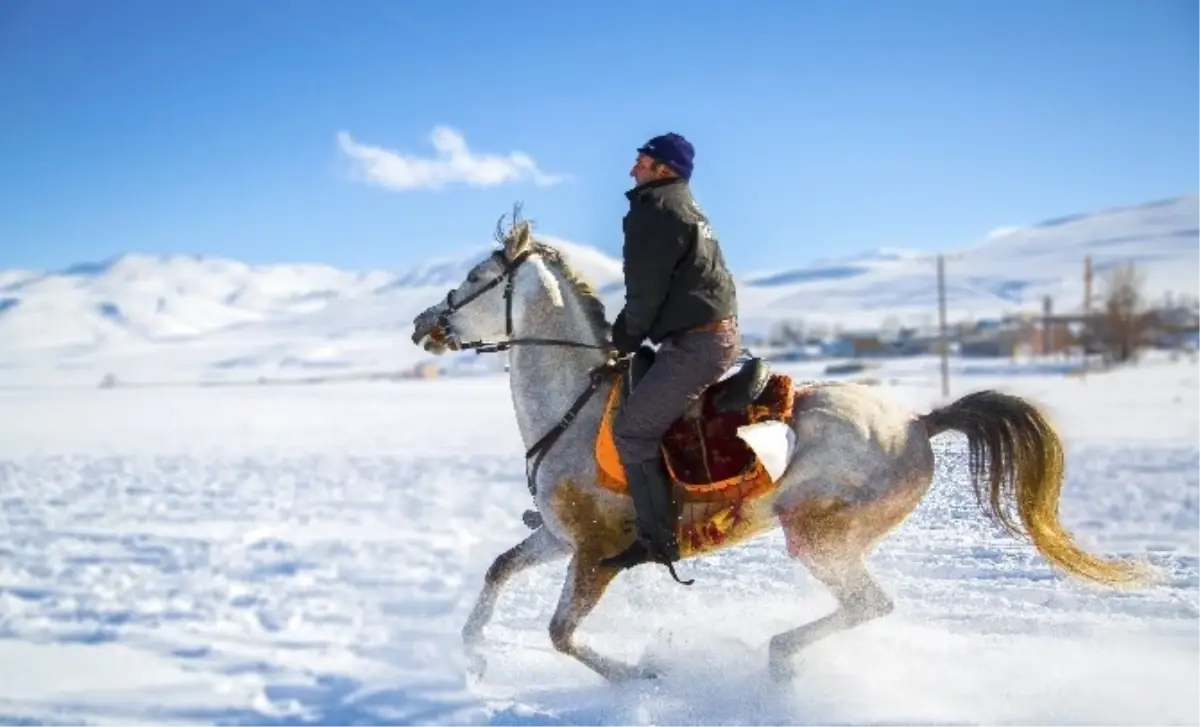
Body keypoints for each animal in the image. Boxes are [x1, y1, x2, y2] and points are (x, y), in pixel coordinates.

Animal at [410, 209, 1142, 681]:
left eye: (473, 277)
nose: (424, 323)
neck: (576, 406)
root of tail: (919, 421)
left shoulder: (593, 554)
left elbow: (562, 634)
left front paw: (642, 674)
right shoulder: (561, 538)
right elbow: (498, 571)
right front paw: (473, 656)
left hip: (819, 535)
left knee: (869, 604)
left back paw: (778, 658)